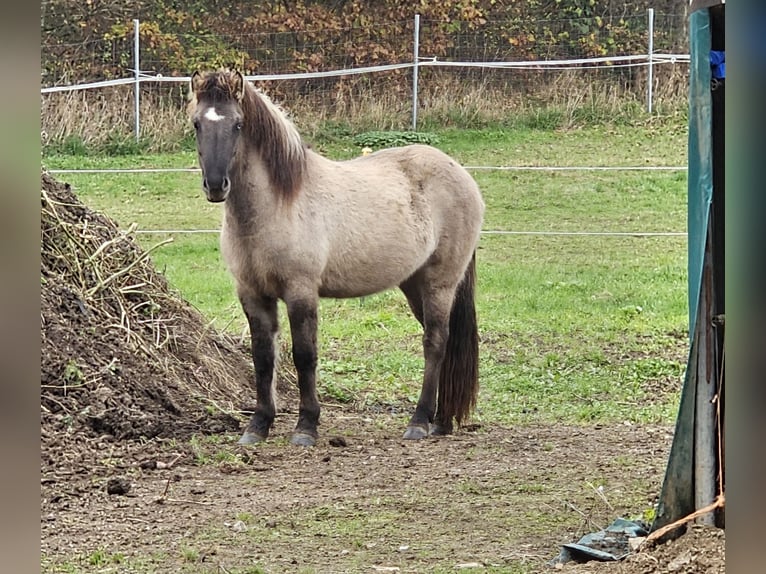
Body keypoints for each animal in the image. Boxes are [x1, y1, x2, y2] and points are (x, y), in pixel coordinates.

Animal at [188, 70, 484, 448]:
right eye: (197, 123)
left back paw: (419, 422)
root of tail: (461, 174)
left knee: (435, 341)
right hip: (413, 283)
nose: (215, 186)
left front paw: (306, 427)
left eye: (238, 124)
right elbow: (263, 358)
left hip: (440, 283)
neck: (277, 205)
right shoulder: (252, 293)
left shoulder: (300, 291)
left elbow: (304, 356)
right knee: (442, 340)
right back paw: (441, 421)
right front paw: (258, 426)